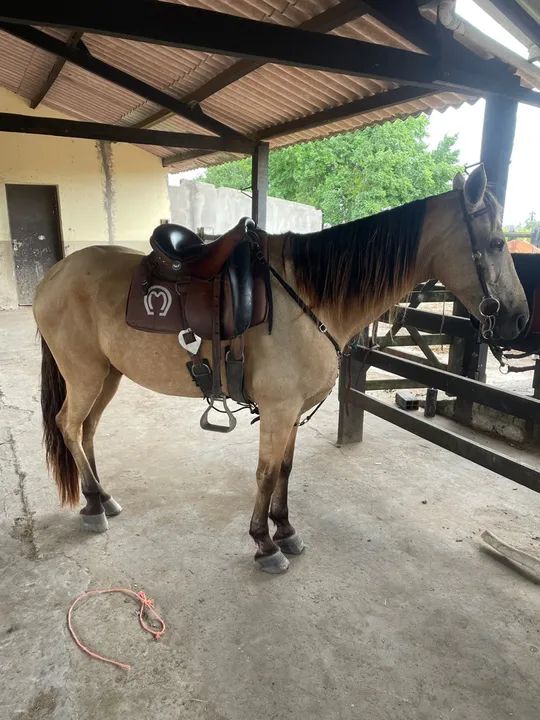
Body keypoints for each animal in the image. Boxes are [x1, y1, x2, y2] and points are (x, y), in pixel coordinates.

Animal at [33, 165, 528, 574]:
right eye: (497, 242)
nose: (520, 320)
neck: (309, 297)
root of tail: (53, 275)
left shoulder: (293, 412)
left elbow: (286, 470)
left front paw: (285, 531)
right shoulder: (277, 409)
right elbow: (266, 473)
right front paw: (263, 543)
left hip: (107, 375)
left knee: (87, 430)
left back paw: (101, 498)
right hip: (85, 375)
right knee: (69, 425)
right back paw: (93, 506)